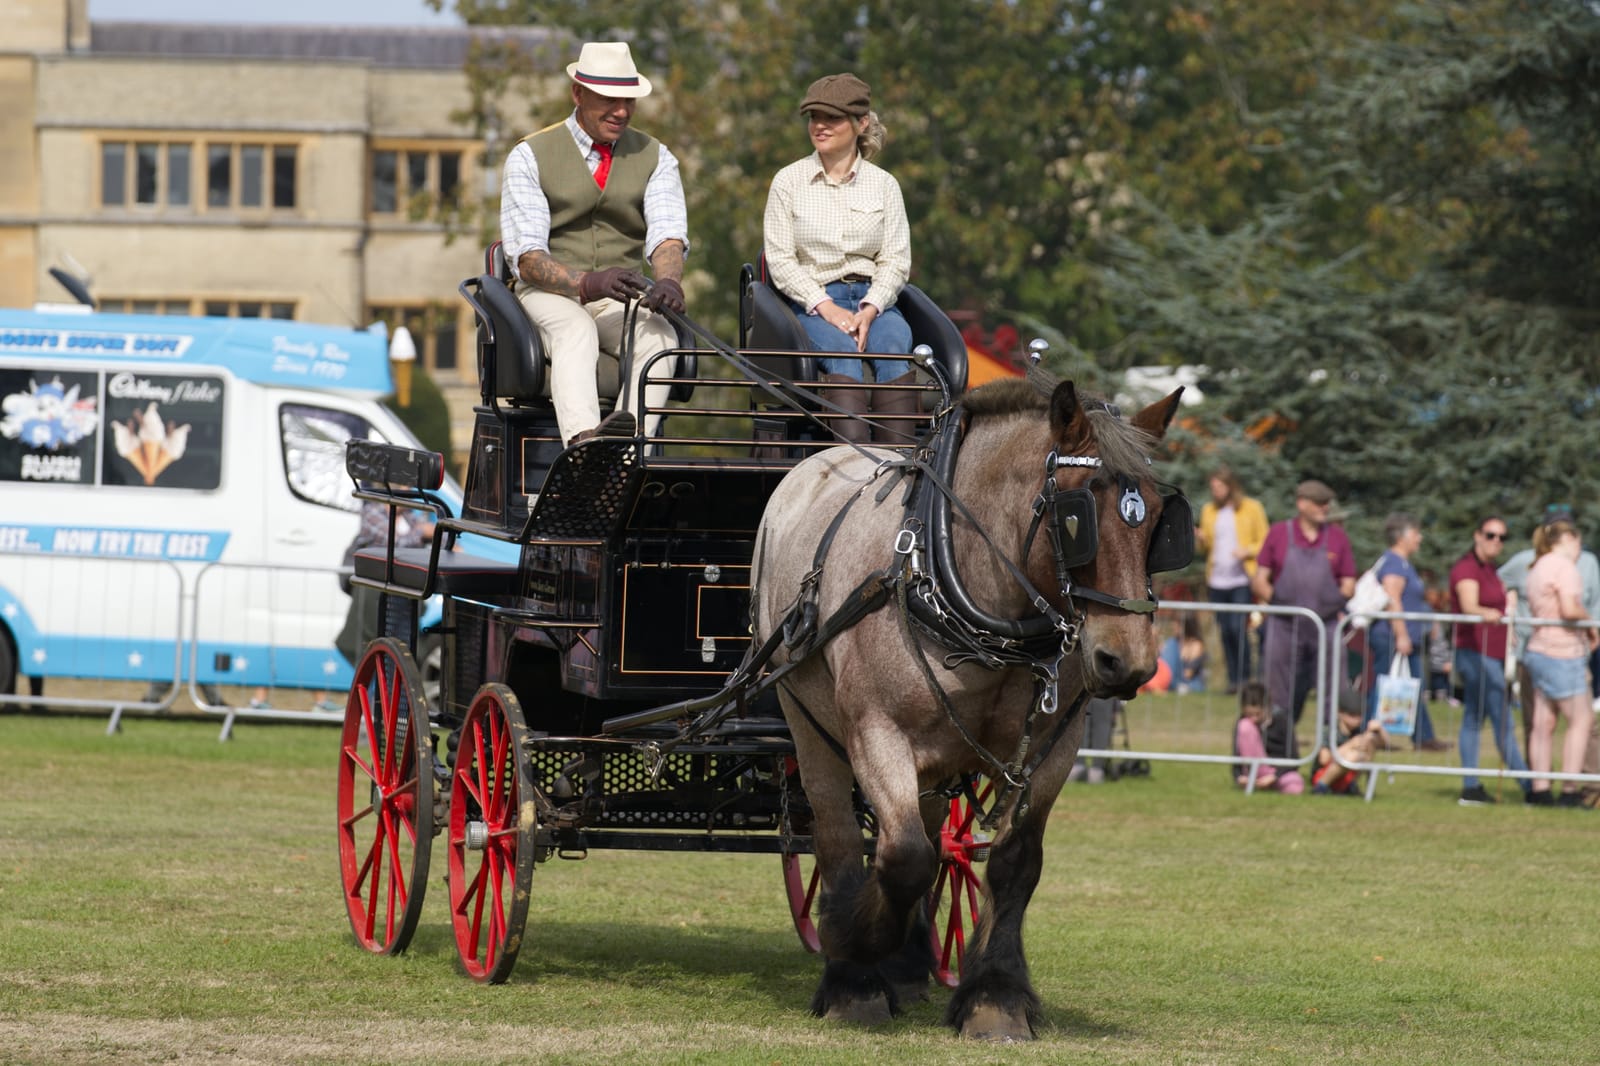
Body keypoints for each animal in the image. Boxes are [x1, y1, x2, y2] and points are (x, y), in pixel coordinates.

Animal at [748, 372, 1190, 1037]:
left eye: (1161, 522)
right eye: (1075, 517)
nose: (1128, 662)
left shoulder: (1052, 748)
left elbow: (1012, 863)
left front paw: (994, 996)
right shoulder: (877, 733)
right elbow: (902, 857)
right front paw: (850, 944)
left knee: (932, 843)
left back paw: (907, 965)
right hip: (806, 717)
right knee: (841, 834)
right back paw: (855, 971)